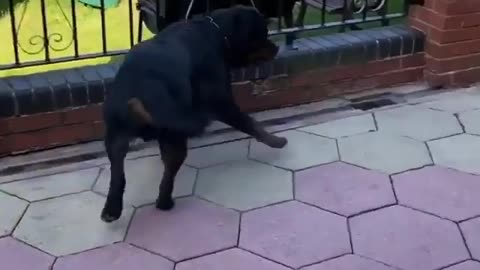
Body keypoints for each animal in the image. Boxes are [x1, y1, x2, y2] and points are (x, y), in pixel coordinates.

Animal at [101, 6, 286, 223]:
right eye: (262, 34)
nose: (276, 48)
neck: (216, 30)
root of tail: (141, 92)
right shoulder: (221, 101)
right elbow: (250, 123)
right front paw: (275, 140)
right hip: (174, 136)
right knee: (167, 177)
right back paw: (165, 203)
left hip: (116, 136)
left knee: (117, 174)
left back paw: (111, 210)